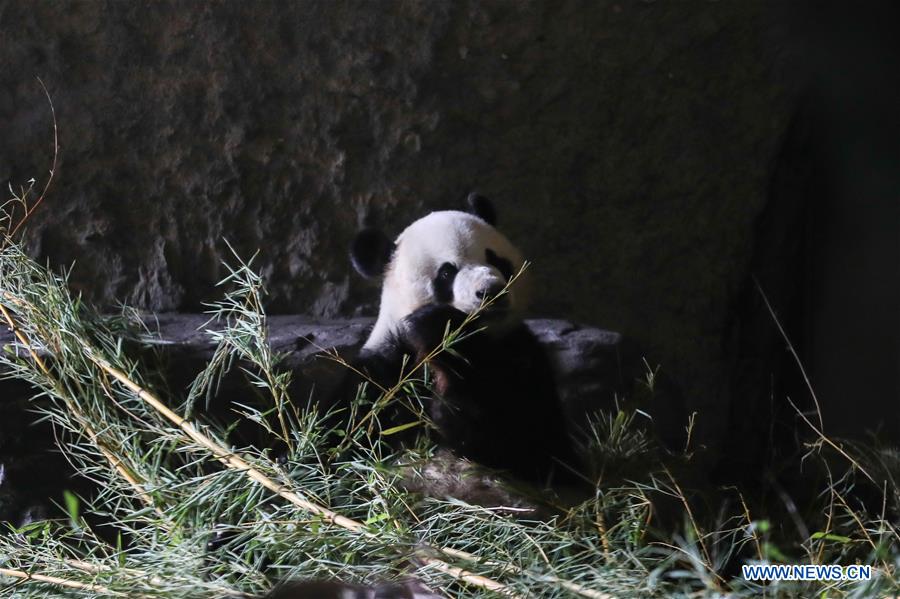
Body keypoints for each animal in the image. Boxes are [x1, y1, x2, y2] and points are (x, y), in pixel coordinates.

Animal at [344, 195, 576, 486]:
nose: (491, 291)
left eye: (496, 259)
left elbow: (530, 445)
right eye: (446, 273)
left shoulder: (524, 358)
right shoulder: (383, 373)